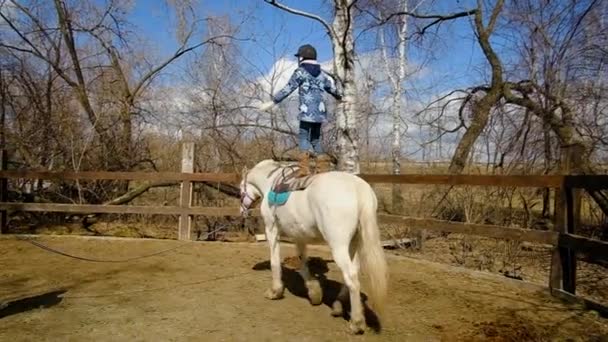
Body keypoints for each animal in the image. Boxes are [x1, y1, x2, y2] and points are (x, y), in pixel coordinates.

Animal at [240, 160, 388, 334]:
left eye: (240, 190)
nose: (242, 211)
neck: (270, 182)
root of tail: (359, 188)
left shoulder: (271, 230)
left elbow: (275, 261)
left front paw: (275, 291)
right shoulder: (298, 235)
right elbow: (302, 260)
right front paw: (314, 292)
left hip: (338, 246)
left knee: (351, 277)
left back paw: (356, 323)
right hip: (354, 244)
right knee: (353, 273)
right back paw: (338, 306)